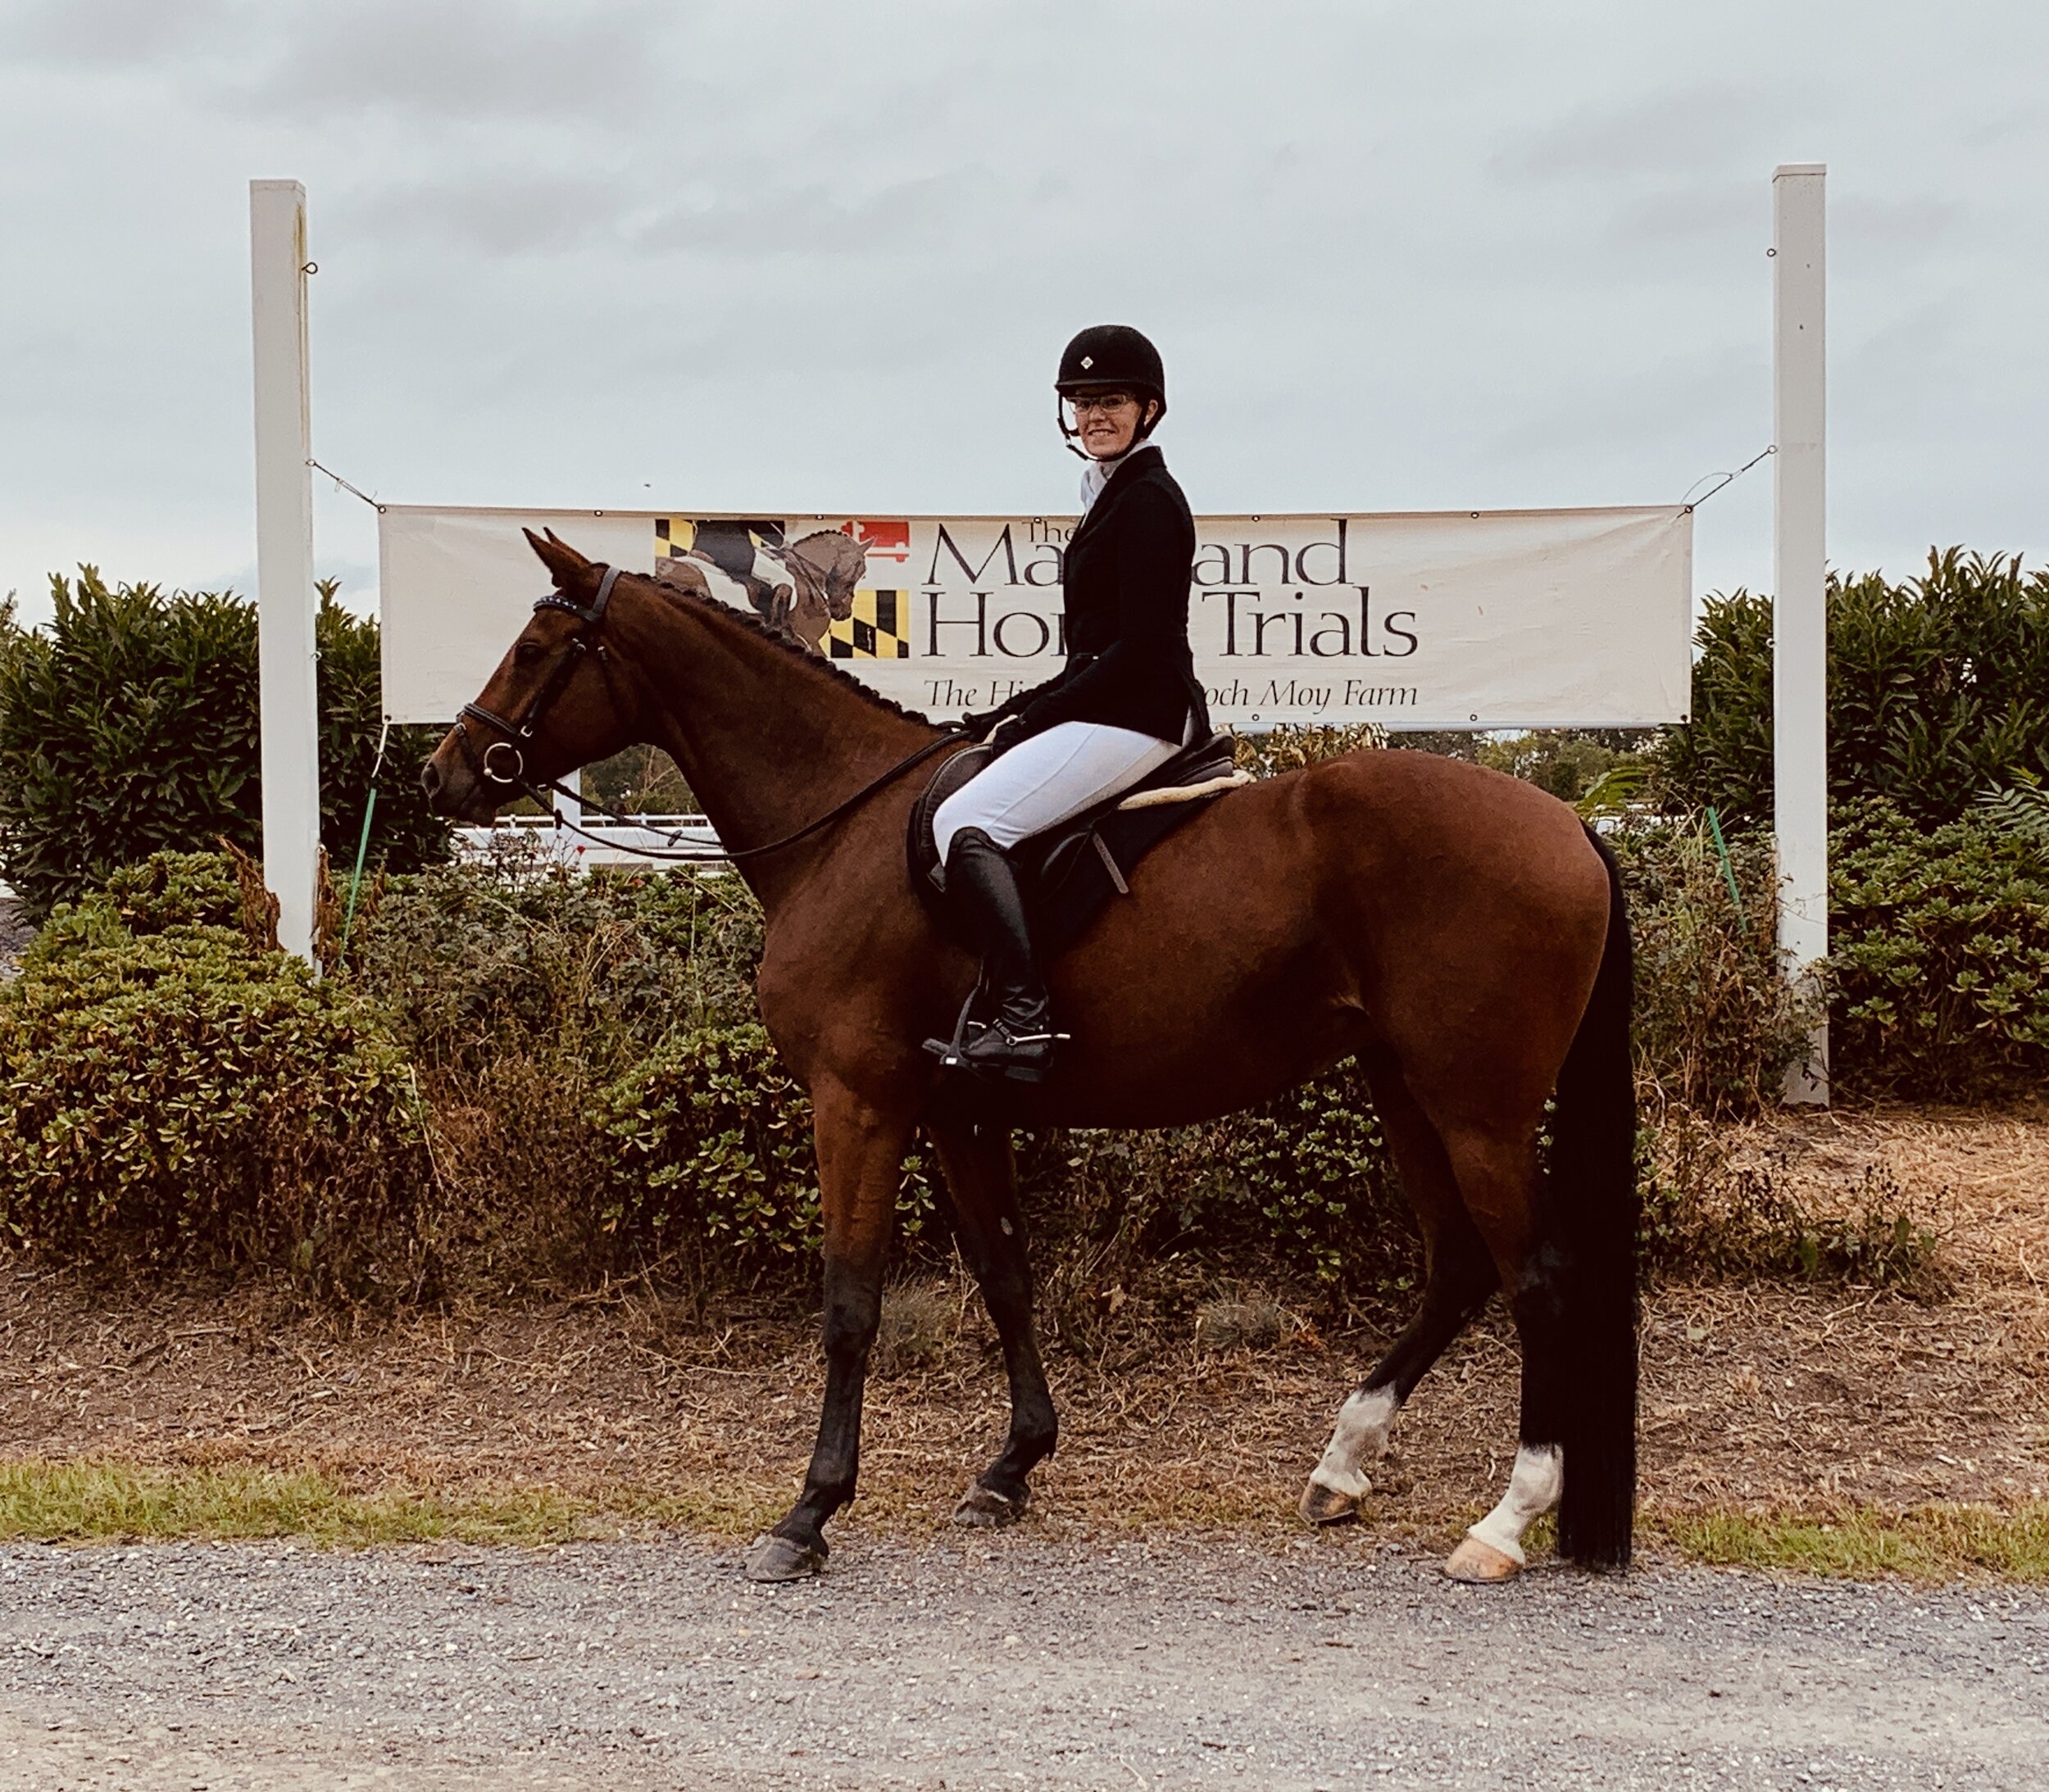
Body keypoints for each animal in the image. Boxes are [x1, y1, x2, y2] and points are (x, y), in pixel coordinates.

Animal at [424, 532, 1639, 1581]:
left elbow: (850, 1302)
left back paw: (1504, 1520)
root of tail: (1568, 825)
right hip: (1405, 1085)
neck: (842, 826)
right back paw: (1341, 1465)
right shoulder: (955, 1108)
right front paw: (1010, 1469)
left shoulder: (857, 1101)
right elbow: (1005, 1275)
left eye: (534, 649)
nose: (444, 777)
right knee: (1460, 1265)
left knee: (1536, 1278)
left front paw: (809, 1513)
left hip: (1476, 1105)